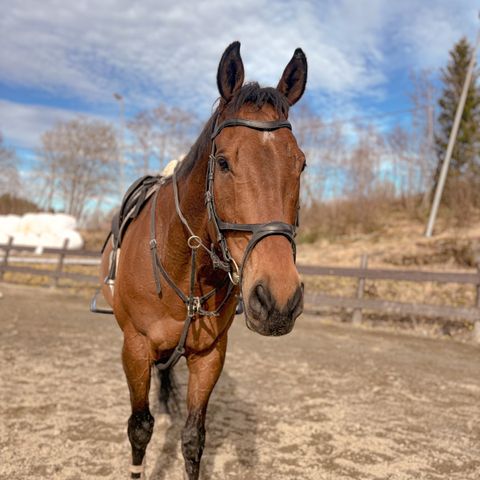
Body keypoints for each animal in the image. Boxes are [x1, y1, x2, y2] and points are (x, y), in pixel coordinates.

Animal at [99, 43, 308, 478]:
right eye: (224, 162)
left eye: (301, 163)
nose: (278, 300)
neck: (183, 266)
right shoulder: (135, 347)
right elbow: (140, 428)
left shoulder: (210, 355)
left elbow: (194, 439)